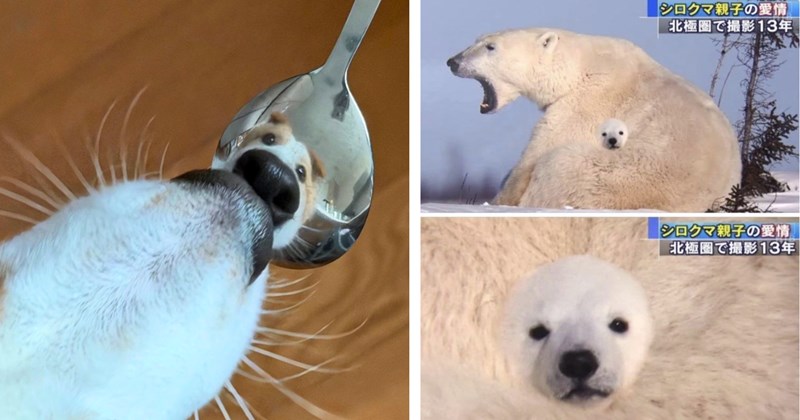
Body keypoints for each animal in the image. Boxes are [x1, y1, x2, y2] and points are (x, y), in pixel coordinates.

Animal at [446, 28, 741, 211]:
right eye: (477, 40)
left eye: (491, 47)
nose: (453, 61)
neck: (579, 67)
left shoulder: (587, 103)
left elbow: (538, 152)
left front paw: (498, 199)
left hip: (617, 177)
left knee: (559, 164)